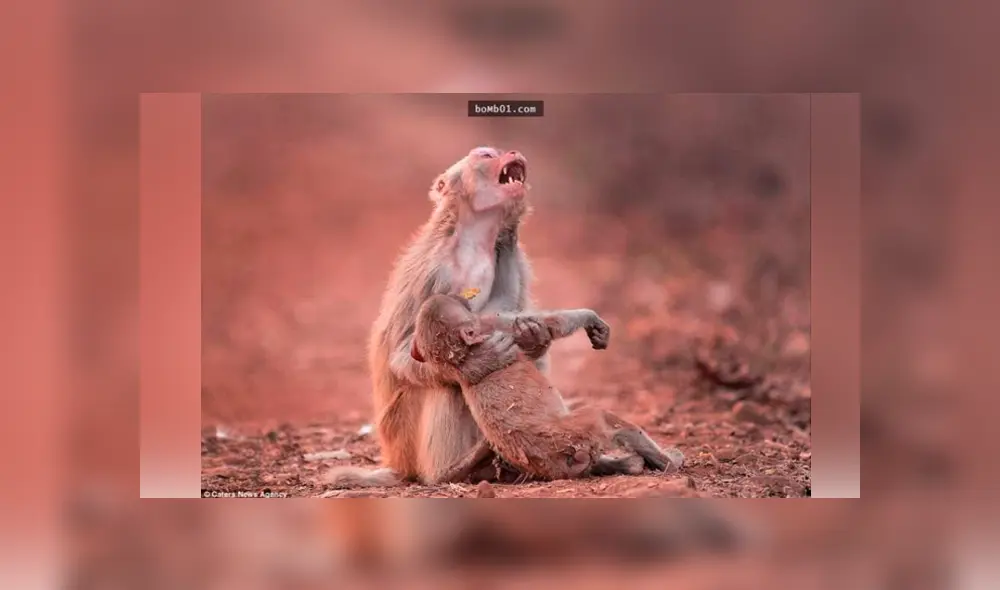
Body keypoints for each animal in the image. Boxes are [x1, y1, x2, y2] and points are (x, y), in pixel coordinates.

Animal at [326, 146, 553, 489]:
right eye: (487, 155)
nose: (512, 152)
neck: (474, 242)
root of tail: (397, 462)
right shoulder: (434, 272)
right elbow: (404, 353)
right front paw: (479, 363)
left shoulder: (511, 258)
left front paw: (532, 335)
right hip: (405, 437)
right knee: (446, 385)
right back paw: (451, 471)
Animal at [411, 294, 686, 482]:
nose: (462, 297)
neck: (462, 356)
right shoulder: (491, 327)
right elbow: (550, 323)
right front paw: (590, 318)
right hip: (574, 433)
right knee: (605, 418)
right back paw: (668, 462)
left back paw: (630, 464)